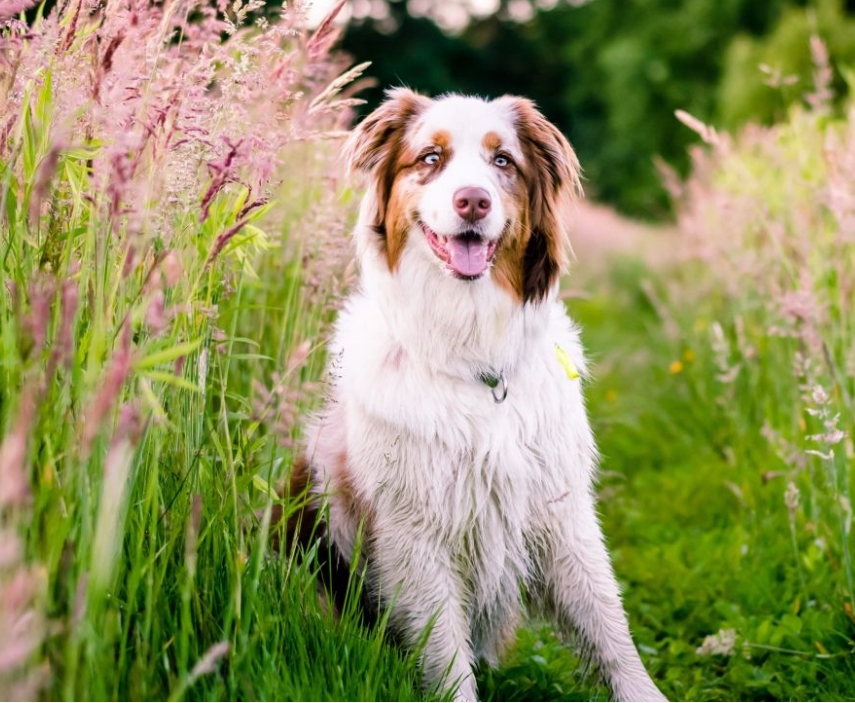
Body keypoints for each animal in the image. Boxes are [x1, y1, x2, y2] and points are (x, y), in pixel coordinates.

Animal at [290, 91, 672, 700]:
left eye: (503, 161)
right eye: (430, 158)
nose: (473, 200)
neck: (474, 358)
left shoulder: (561, 509)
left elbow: (609, 625)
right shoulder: (415, 533)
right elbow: (447, 657)